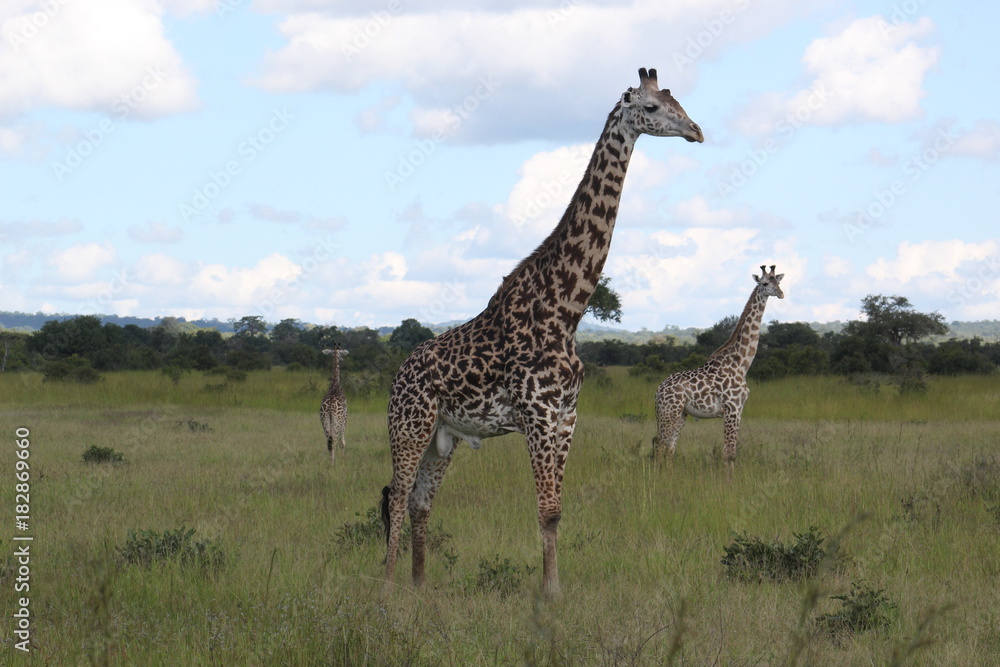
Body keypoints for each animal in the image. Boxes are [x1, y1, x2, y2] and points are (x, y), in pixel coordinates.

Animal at [380, 68, 703, 597]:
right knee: (396, 495)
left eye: (678, 100)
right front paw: (550, 594)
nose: (697, 131)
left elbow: (556, 511)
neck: (565, 308)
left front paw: (556, 588)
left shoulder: (566, 415)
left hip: (443, 437)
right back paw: (387, 587)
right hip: (409, 426)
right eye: (652, 108)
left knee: (419, 501)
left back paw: (419, 585)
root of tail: (397, 375)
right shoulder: (536, 413)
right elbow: (546, 509)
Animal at [653, 265, 784, 474]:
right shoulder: (731, 408)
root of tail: (658, 391)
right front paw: (728, 481)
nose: (780, 293)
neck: (741, 364)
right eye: (764, 283)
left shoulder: (739, 410)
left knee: (669, 448)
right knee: (660, 446)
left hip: (680, 414)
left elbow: (731, 451)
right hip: (669, 412)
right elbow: (729, 452)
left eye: (778, 282)